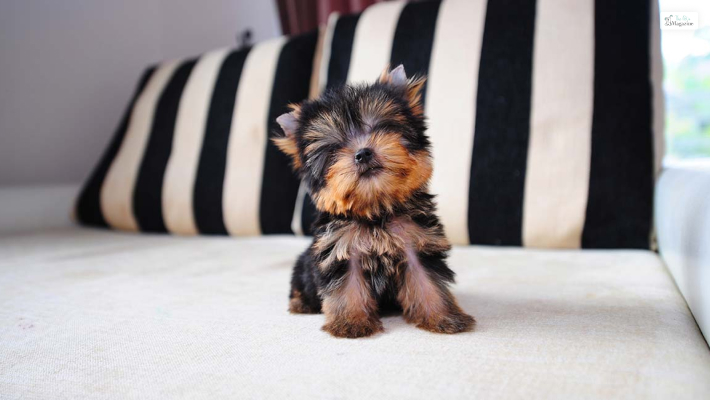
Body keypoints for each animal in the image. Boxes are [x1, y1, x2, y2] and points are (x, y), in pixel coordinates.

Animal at [276, 65, 476, 338]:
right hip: (304, 267)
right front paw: (350, 323)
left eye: (382, 127)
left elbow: (428, 282)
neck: (376, 209)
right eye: (334, 148)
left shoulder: (418, 243)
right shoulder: (341, 250)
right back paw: (301, 303)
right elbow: (347, 288)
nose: (362, 153)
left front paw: (443, 317)